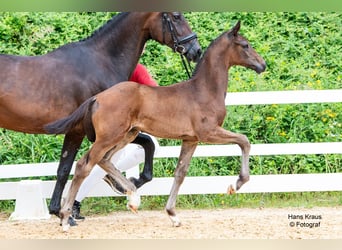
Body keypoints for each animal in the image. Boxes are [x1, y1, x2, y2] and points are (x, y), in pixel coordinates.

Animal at [0, 12, 202, 219]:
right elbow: (66, 168)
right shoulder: (84, 131)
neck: (101, 62)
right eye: (176, 16)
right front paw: (61, 211)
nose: (197, 50)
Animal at [44, 20, 266, 229]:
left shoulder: (191, 139)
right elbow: (244, 141)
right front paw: (236, 184)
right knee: (84, 165)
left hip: (127, 135)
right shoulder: (209, 132)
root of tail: (97, 98)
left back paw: (132, 197)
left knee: (104, 160)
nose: (262, 65)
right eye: (245, 45)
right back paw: (65, 217)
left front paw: (173, 214)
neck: (203, 90)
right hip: (109, 137)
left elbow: (180, 174)